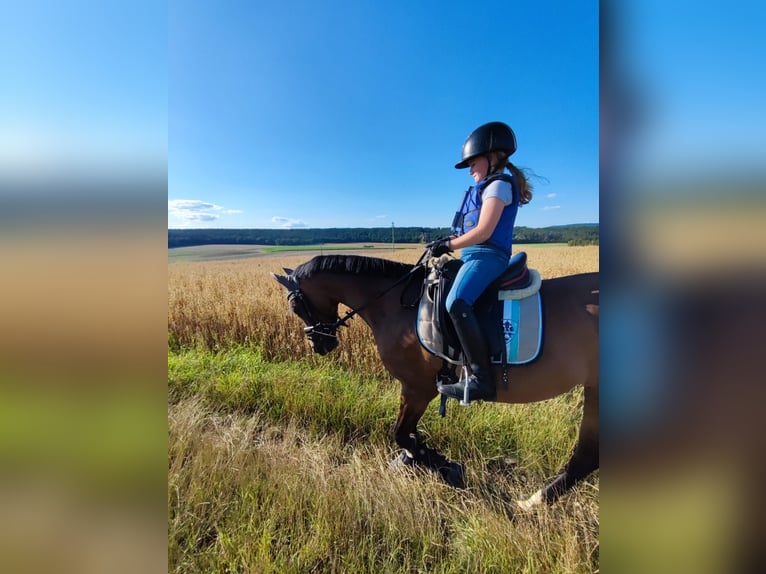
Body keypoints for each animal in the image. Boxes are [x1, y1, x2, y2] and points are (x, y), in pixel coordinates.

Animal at [272, 252, 604, 508]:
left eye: (295, 305)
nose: (319, 345)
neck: (393, 304)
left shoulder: (417, 388)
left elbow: (401, 434)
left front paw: (444, 466)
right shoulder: (416, 389)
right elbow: (407, 436)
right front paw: (419, 460)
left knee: (586, 457)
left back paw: (532, 503)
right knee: (588, 457)